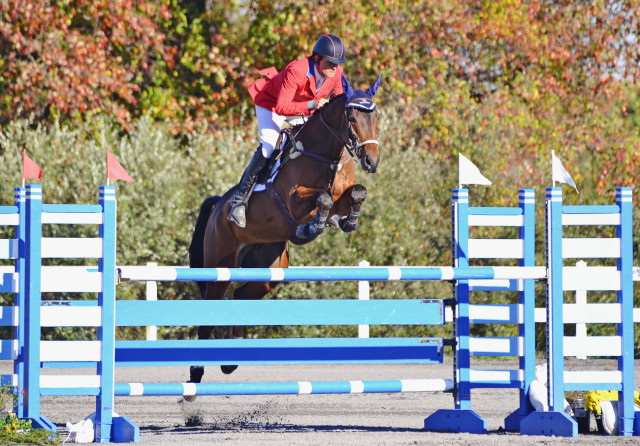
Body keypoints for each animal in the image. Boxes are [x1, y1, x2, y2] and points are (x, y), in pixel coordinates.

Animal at [188, 74, 382, 386]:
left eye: (376, 117)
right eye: (352, 117)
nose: (371, 161)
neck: (326, 154)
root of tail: (218, 205)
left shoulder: (344, 194)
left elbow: (357, 193)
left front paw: (348, 222)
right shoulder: (295, 201)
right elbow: (323, 199)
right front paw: (312, 227)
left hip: (270, 269)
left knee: (240, 296)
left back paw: (231, 360)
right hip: (220, 264)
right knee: (211, 308)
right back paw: (197, 369)